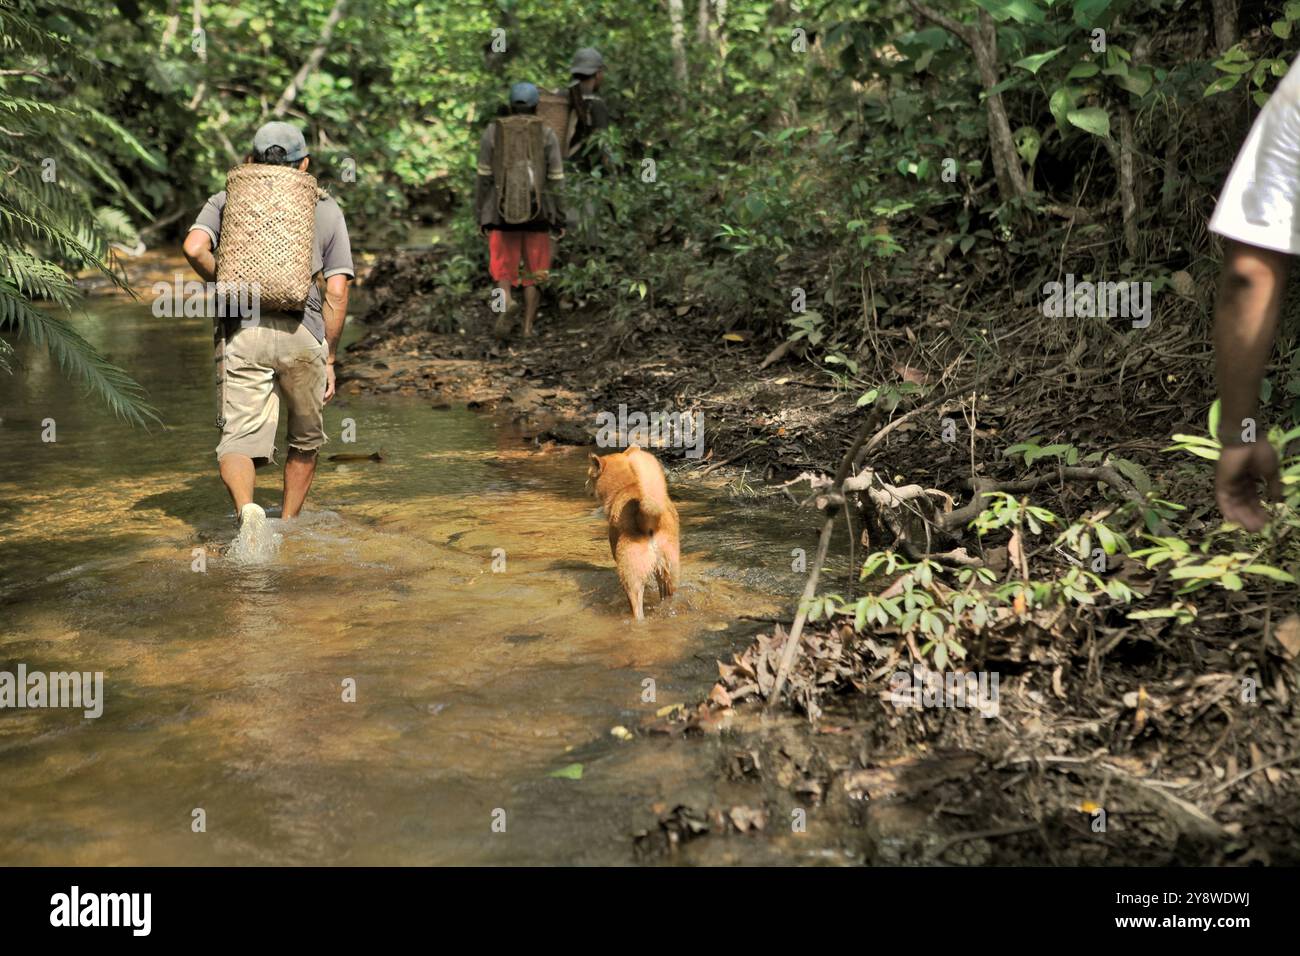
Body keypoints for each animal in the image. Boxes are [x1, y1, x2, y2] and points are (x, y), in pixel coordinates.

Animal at [592, 447, 686, 621]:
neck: (625, 485)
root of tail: (648, 517)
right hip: (669, 570)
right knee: (668, 597)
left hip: (632, 578)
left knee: (637, 611)